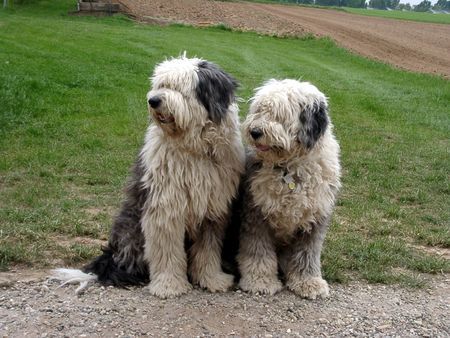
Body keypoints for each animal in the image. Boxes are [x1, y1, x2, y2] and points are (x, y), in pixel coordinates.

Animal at [237, 78, 340, 298]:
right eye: (259, 110)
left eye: (279, 115)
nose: (255, 131)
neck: (289, 169)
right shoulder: (257, 213)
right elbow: (258, 251)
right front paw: (260, 281)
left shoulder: (315, 217)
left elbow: (307, 254)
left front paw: (308, 282)